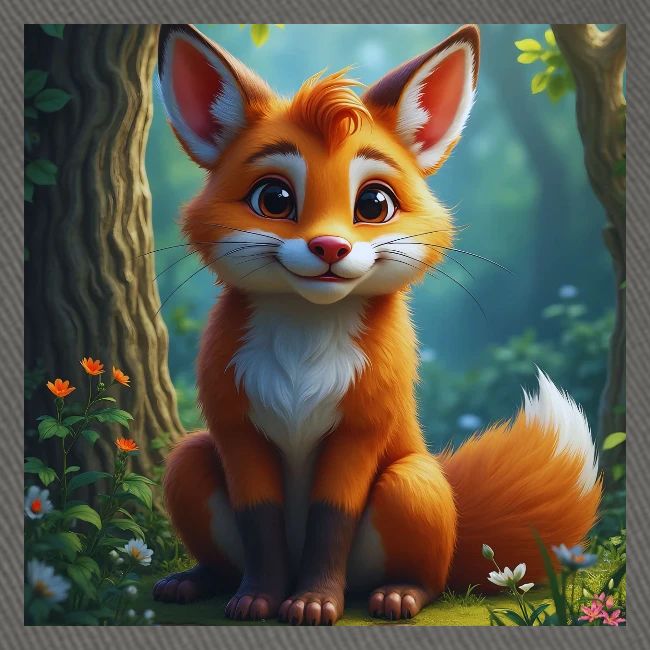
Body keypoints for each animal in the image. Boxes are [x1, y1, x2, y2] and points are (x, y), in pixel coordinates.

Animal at [152, 23, 602, 625]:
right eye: (274, 198)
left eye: (374, 204)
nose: (329, 246)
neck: (304, 348)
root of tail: (459, 536)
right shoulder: (235, 427)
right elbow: (261, 521)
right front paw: (258, 599)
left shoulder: (361, 427)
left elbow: (330, 521)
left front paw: (315, 602)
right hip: (188, 461)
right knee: (219, 545)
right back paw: (197, 580)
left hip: (410, 484)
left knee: (430, 578)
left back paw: (398, 594)